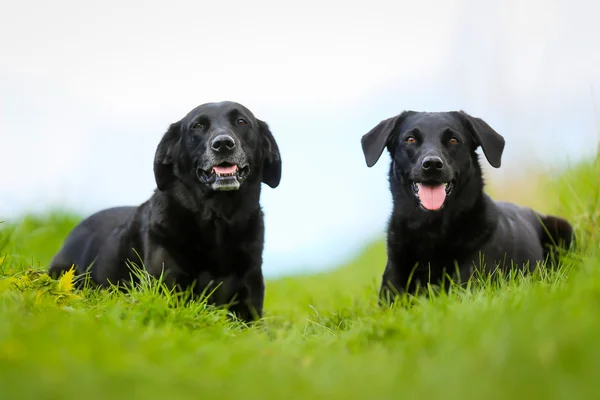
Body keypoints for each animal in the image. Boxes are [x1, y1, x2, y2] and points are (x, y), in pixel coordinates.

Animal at [49, 101, 282, 322]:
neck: (217, 222)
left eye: (242, 122)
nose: (223, 143)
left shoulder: (250, 307)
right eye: (197, 126)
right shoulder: (165, 287)